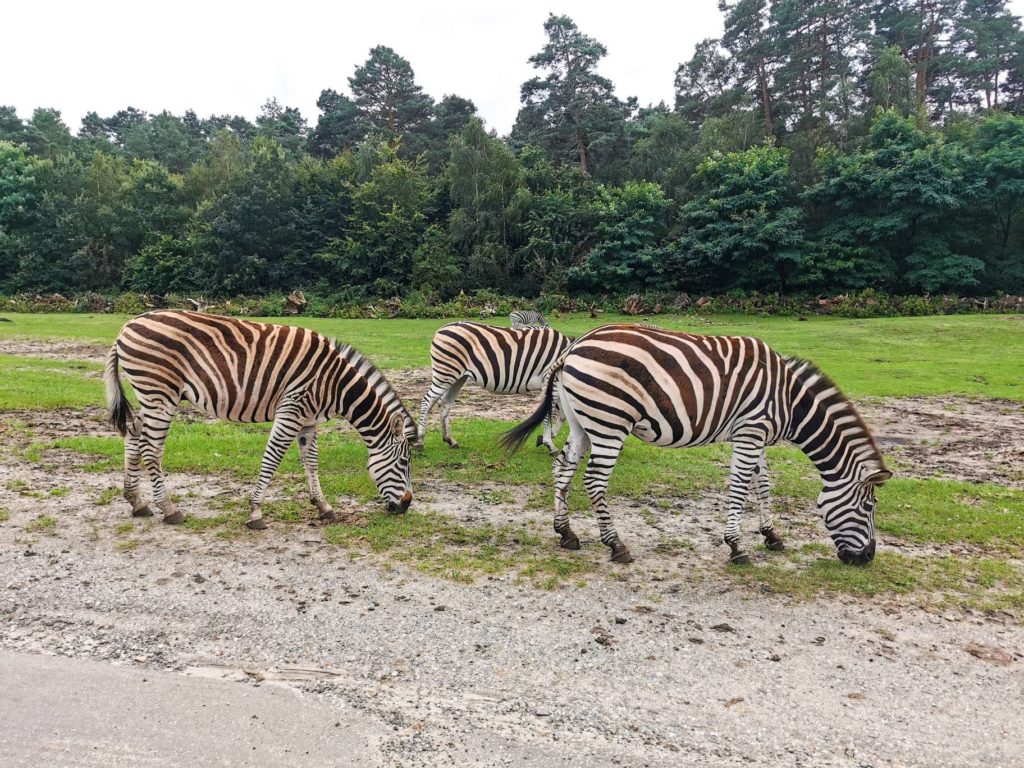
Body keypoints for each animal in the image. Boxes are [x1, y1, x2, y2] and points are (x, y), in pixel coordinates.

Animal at [105, 309, 417, 532]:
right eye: (404, 462)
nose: (406, 506)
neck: (336, 384)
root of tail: (127, 325)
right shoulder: (291, 410)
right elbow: (272, 458)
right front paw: (255, 513)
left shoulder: (308, 420)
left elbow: (311, 462)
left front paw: (324, 507)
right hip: (160, 394)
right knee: (152, 450)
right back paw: (169, 509)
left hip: (151, 396)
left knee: (133, 433)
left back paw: (137, 502)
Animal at [417, 321, 577, 454]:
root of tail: (441, 329)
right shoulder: (549, 381)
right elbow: (549, 413)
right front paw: (549, 443)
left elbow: (562, 415)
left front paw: (546, 437)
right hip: (445, 373)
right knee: (427, 401)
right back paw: (420, 442)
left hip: (458, 377)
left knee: (445, 404)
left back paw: (450, 440)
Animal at [499, 323, 892, 565]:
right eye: (870, 507)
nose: (866, 559)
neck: (789, 401)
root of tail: (573, 348)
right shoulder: (750, 430)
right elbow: (740, 487)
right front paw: (736, 546)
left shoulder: (757, 434)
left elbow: (763, 484)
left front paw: (771, 535)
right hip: (611, 421)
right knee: (594, 480)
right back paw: (616, 545)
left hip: (583, 421)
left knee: (563, 468)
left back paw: (566, 533)